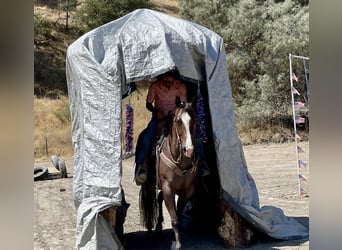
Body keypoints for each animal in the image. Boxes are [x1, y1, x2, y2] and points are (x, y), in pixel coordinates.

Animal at [138, 100, 198, 250]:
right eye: (178, 121)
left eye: (195, 120)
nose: (189, 150)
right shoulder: (167, 188)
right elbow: (175, 218)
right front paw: (177, 244)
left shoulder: (187, 190)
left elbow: (178, 216)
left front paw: (173, 238)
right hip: (149, 184)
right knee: (150, 202)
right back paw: (150, 230)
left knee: (159, 199)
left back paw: (159, 227)